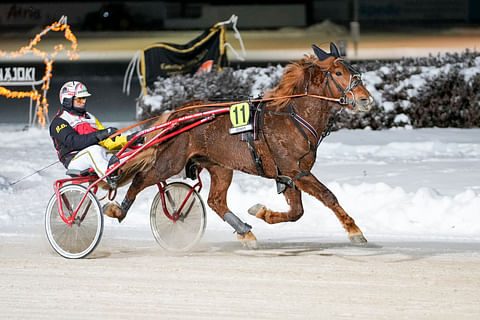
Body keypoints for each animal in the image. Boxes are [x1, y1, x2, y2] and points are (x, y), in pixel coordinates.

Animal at [106, 42, 376, 248]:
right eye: (338, 73)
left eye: (355, 71)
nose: (366, 99)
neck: (292, 116)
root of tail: (179, 113)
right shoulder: (293, 169)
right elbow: (327, 196)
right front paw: (355, 232)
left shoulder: (291, 175)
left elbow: (296, 212)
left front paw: (261, 212)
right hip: (170, 161)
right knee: (141, 179)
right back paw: (118, 210)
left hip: (220, 166)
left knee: (215, 201)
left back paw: (245, 232)